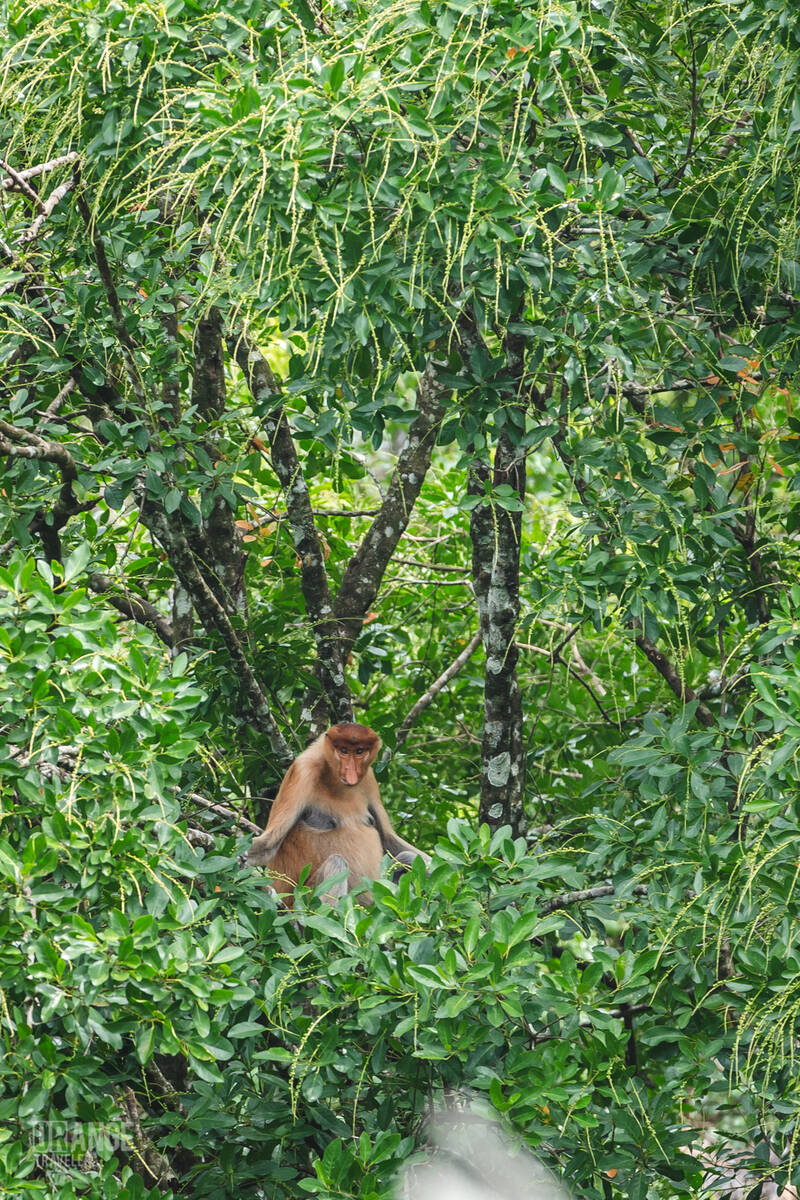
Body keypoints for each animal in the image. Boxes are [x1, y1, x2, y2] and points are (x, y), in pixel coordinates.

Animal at [243, 723, 430, 903]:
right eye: (343, 751)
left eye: (359, 751)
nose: (350, 772)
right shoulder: (302, 771)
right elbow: (270, 843)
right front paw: (240, 859)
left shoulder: (368, 779)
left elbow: (387, 837)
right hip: (301, 898)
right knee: (336, 862)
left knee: (407, 857)